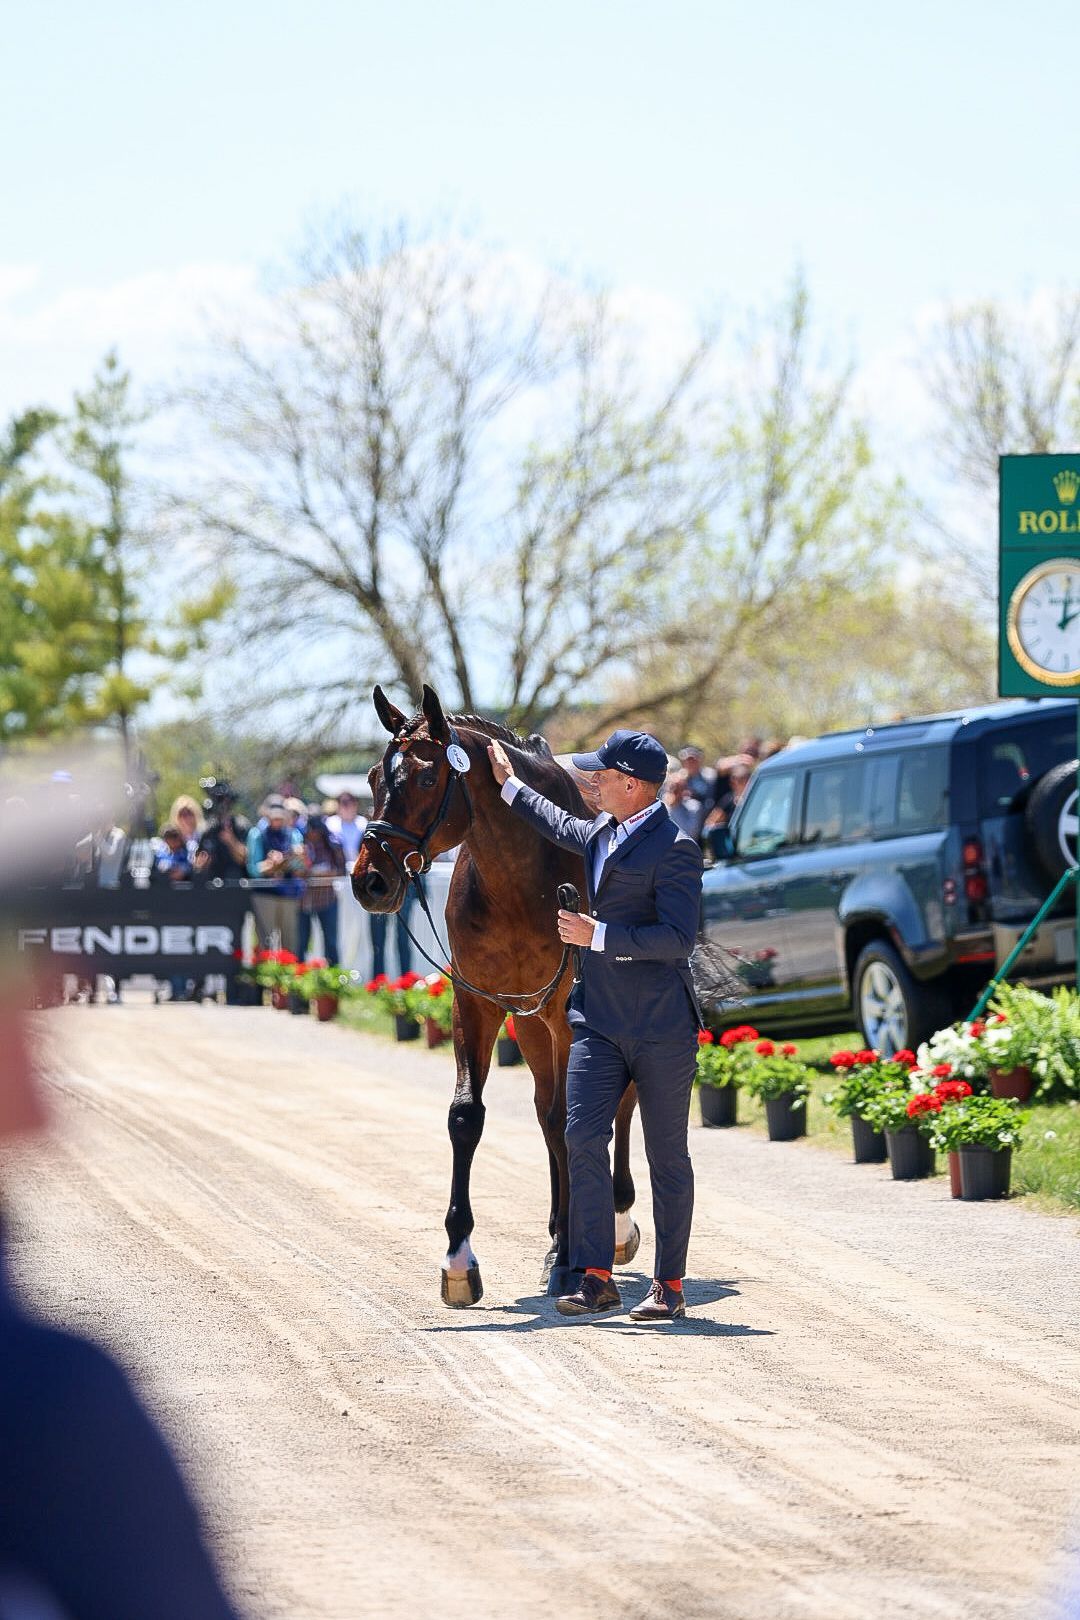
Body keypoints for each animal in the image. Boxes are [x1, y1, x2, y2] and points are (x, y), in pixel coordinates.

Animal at [351, 683, 641, 1305]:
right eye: (372, 777)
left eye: (427, 779)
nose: (370, 881)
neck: (519, 875)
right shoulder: (477, 1005)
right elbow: (469, 1117)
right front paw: (459, 1261)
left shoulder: (566, 1014)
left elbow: (575, 1117)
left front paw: (574, 1258)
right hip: (527, 1025)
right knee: (549, 1116)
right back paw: (559, 1235)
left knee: (617, 1103)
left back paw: (614, 1224)